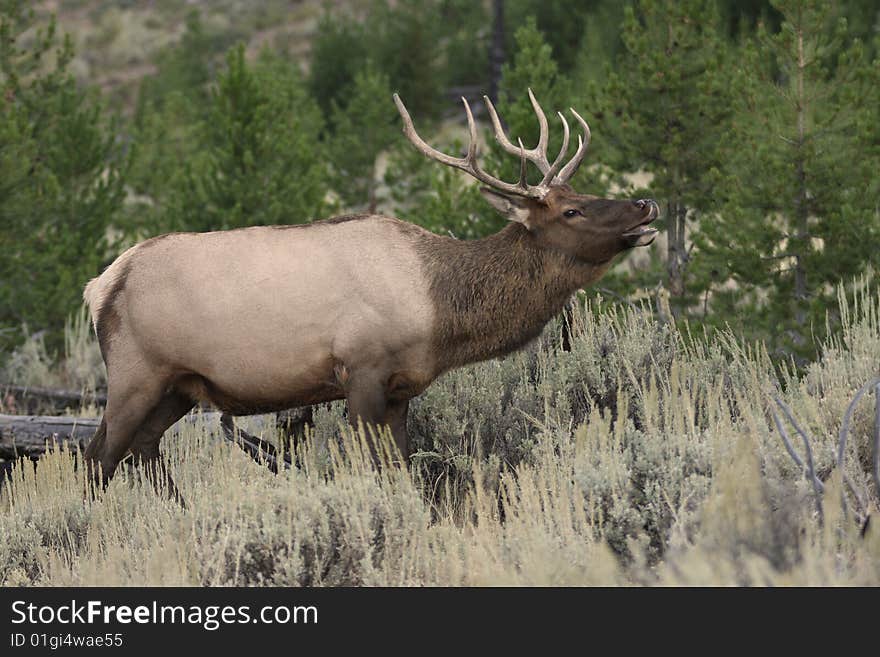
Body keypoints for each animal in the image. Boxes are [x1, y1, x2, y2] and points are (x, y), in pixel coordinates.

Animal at [82, 91, 656, 492]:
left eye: (579, 193)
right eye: (571, 210)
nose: (645, 204)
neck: (439, 312)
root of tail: (101, 283)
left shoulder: (403, 388)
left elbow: (401, 469)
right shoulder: (360, 369)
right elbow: (370, 468)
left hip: (179, 386)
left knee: (144, 450)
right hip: (136, 373)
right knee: (97, 456)